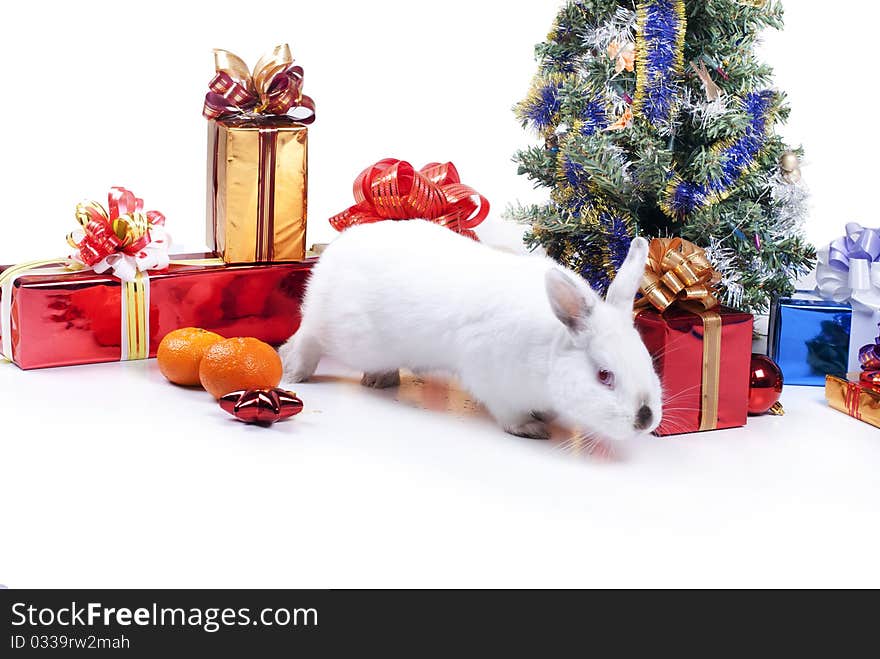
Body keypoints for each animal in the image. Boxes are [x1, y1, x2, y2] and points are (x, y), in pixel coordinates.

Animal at [282, 219, 660, 440]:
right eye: (604, 375)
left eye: (648, 361)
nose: (645, 420)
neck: (549, 351)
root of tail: (336, 251)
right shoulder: (494, 380)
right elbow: (510, 415)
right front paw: (531, 428)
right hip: (341, 333)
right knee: (308, 336)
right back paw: (294, 371)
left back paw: (381, 379)